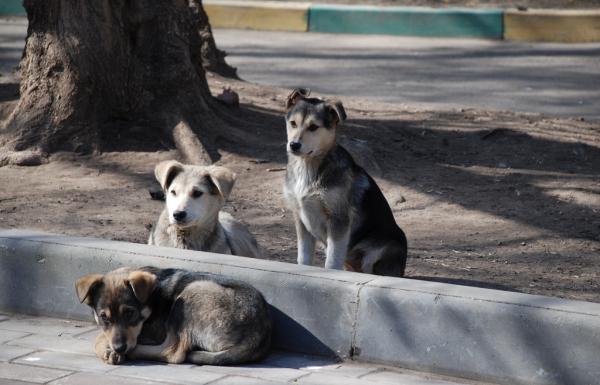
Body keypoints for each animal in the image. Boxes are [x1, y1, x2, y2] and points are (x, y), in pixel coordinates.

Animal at [76, 266, 274, 364]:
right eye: (104, 317)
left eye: (130, 313)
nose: (118, 348)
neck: (152, 298)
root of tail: (257, 336)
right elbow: (103, 334)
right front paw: (109, 350)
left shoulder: (153, 332)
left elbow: (99, 338)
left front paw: (108, 350)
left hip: (191, 293)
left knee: (174, 352)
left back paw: (132, 353)